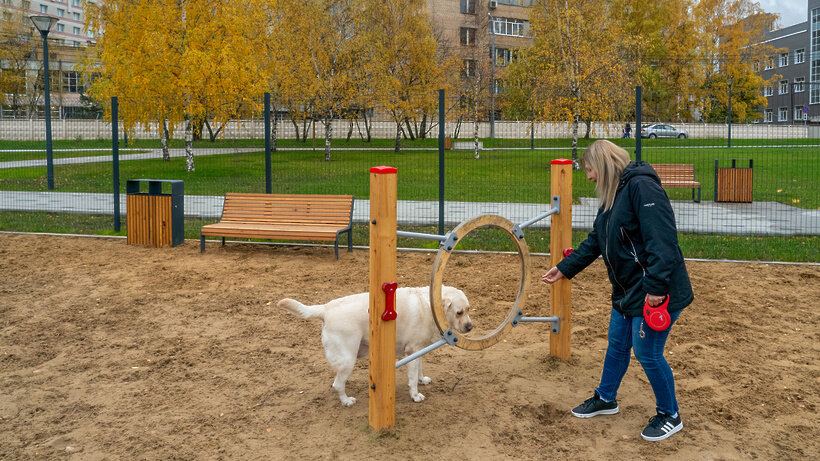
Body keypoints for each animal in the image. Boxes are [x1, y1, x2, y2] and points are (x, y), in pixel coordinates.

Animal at [280, 286, 474, 404]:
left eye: (468, 309)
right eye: (459, 312)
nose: (470, 327)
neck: (427, 306)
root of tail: (325, 308)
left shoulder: (417, 350)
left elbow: (419, 369)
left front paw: (422, 380)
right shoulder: (411, 350)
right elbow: (412, 379)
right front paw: (415, 395)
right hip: (348, 360)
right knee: (337, 384)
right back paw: (346, 401)